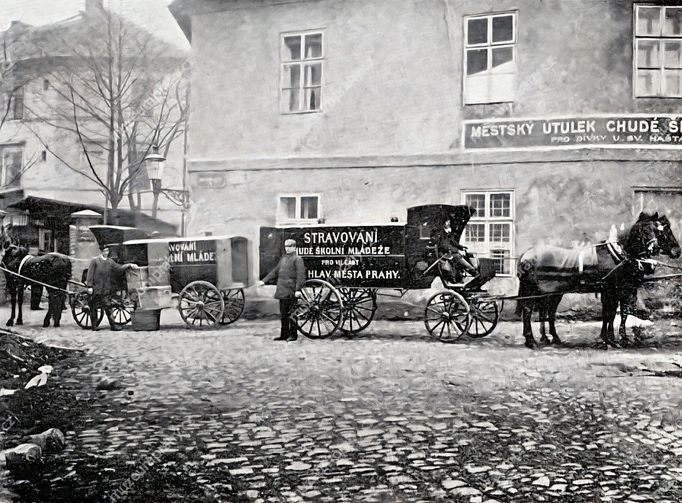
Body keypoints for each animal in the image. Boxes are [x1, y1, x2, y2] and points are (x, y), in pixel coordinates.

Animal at [516, 213, 676, 350]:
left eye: (657, 231)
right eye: (644, 230)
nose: (677, 251)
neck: (619, 256)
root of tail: (526, 255)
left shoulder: (616, 290)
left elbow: (613, 314)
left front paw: (611, 340)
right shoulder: (611, 290)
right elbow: (610, 314)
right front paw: (608, 340)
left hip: (552, 292)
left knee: (548, 312)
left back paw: (552, 338)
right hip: (532, 290)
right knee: (528, 311)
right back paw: (531, 340)